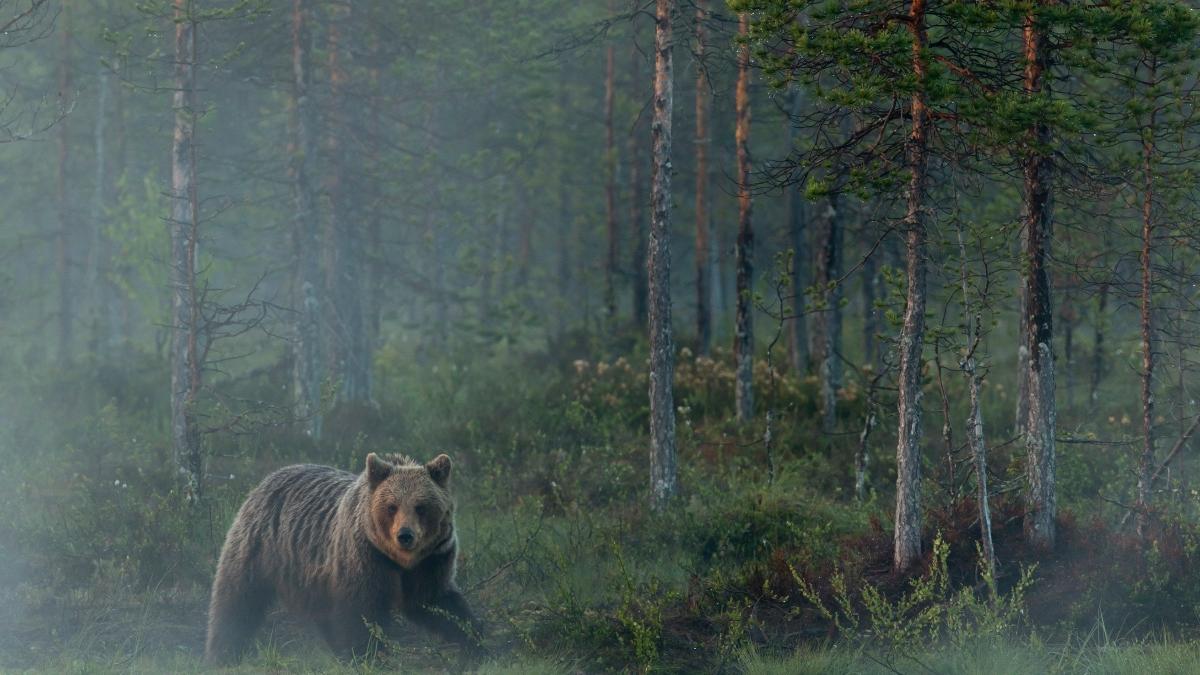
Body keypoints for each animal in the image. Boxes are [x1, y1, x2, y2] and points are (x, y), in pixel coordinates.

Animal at [204, 451, 480, 662]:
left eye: (421, 507)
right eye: (392, 506)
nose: (405, 535)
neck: (399, 561)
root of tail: (267, 479)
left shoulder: (432, 559)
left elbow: (435, 601)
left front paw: (473, 639)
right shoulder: (365, 557)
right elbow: (361, 611)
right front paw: (369, 654)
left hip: (312, 577)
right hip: (259, 547)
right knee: (237, 598)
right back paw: (222, 652)